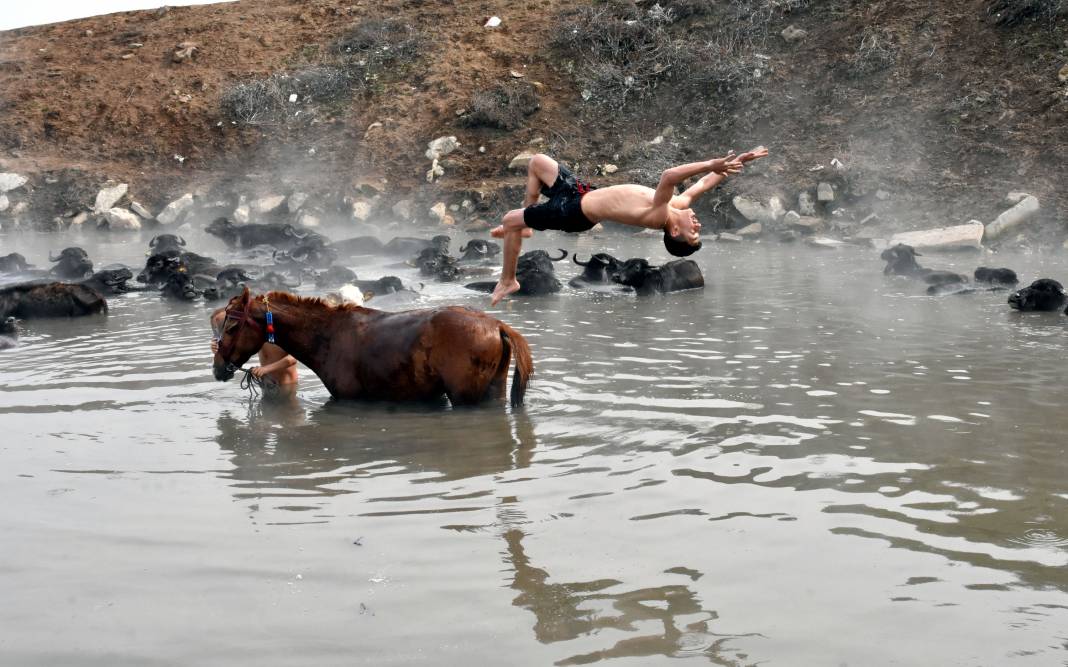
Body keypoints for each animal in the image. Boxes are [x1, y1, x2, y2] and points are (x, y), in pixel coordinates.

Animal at [213, 288, 534, 405]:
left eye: (231, 327)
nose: (218, 368)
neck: (328, 336)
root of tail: (496, 324)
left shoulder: (349, 399)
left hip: (465, 397)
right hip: (493, 389)